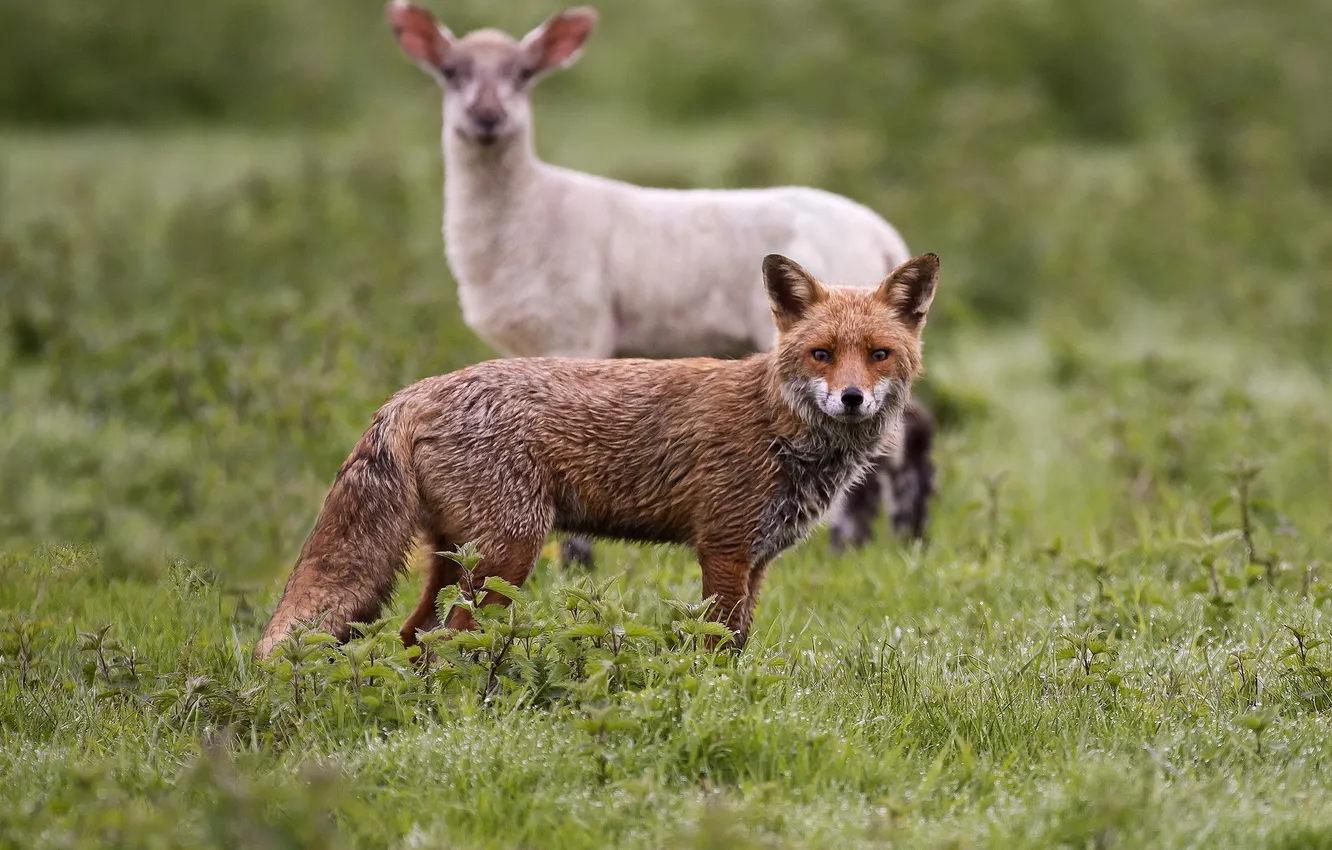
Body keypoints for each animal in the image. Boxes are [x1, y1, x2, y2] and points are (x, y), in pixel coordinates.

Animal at [253, 253, 939, 660]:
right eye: (822, 354)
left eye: (878, 354)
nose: (851, 399)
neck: (779, 425)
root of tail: (412, 392)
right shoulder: (723, 548)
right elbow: (717, 647)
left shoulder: (758, 559)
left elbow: (740, 643)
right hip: (509, 556)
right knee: (450, 640)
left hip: (458, 560)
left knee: (412, 636)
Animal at [387, 1, 936, 564]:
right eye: (451, 72)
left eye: (523, 74)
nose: (487, 118)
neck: (530, 205)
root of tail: (881, 232)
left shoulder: (577, 330)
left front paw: (576, 559)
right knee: (910, 425)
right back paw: (900, 537)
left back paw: (863, 540)